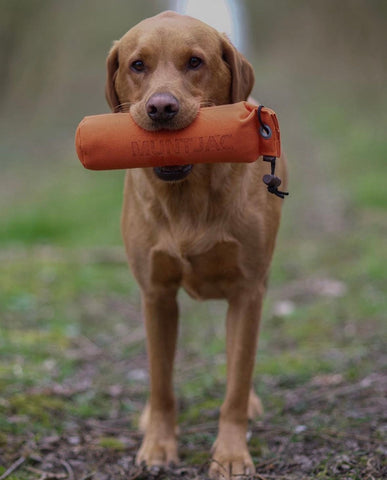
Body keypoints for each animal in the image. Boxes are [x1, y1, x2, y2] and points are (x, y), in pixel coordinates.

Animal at [104, 11, 286, 480]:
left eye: (195, 62)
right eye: (137, 65)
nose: (161, 108)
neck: (187, 197)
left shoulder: (248, 291)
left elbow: (236, 384)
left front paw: (232, 454)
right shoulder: (156, 294)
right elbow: (161, 382)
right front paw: (158, 445)